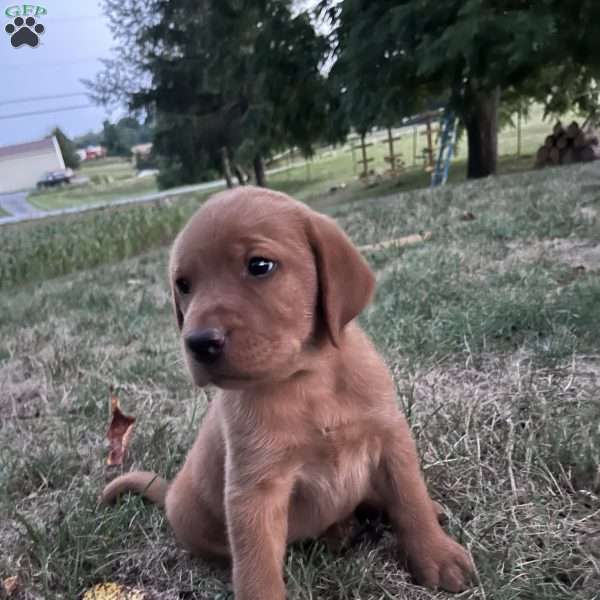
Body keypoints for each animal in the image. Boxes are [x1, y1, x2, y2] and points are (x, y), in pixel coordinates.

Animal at [104, 185, 478, 596]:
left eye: (259, 265)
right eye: (184, 285)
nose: (198, 343)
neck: (309, 380)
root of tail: (170, 491)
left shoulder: (391, 438)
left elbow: (410, 499)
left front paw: (437, 555)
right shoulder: (254, 490)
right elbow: (257, 569)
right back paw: (339, 531)